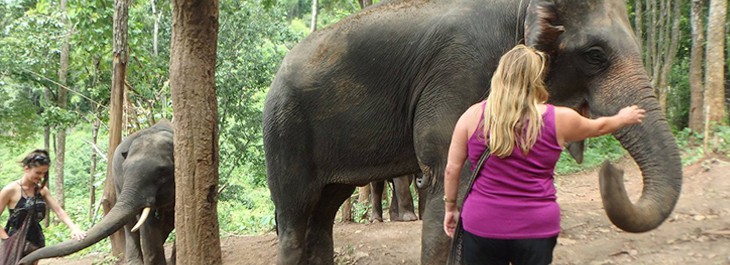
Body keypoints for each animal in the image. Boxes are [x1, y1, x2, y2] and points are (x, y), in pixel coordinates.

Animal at [264, 1, 684, 262]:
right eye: (595, 55)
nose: (611, 170)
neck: (521, 8)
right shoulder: (459, 72)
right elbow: (447, 175)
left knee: (324, 211)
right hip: (285, 128)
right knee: (296, 213)